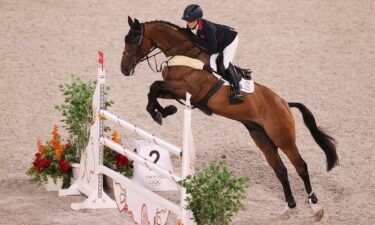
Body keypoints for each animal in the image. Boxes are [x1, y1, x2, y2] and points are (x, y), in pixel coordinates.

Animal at [122, 16, 340, 221]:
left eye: (134, 41)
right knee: (281, 170)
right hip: (261, 137)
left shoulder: (187, 89)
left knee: (301, 166)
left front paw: (161, 112)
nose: (124, 69)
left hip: (282, 137)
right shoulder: (174, 89)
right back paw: (289, 207)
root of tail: (285, 103)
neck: (183, 53)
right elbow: (154, 89)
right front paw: (163, 111)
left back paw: (316, 207)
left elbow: (155, 85)